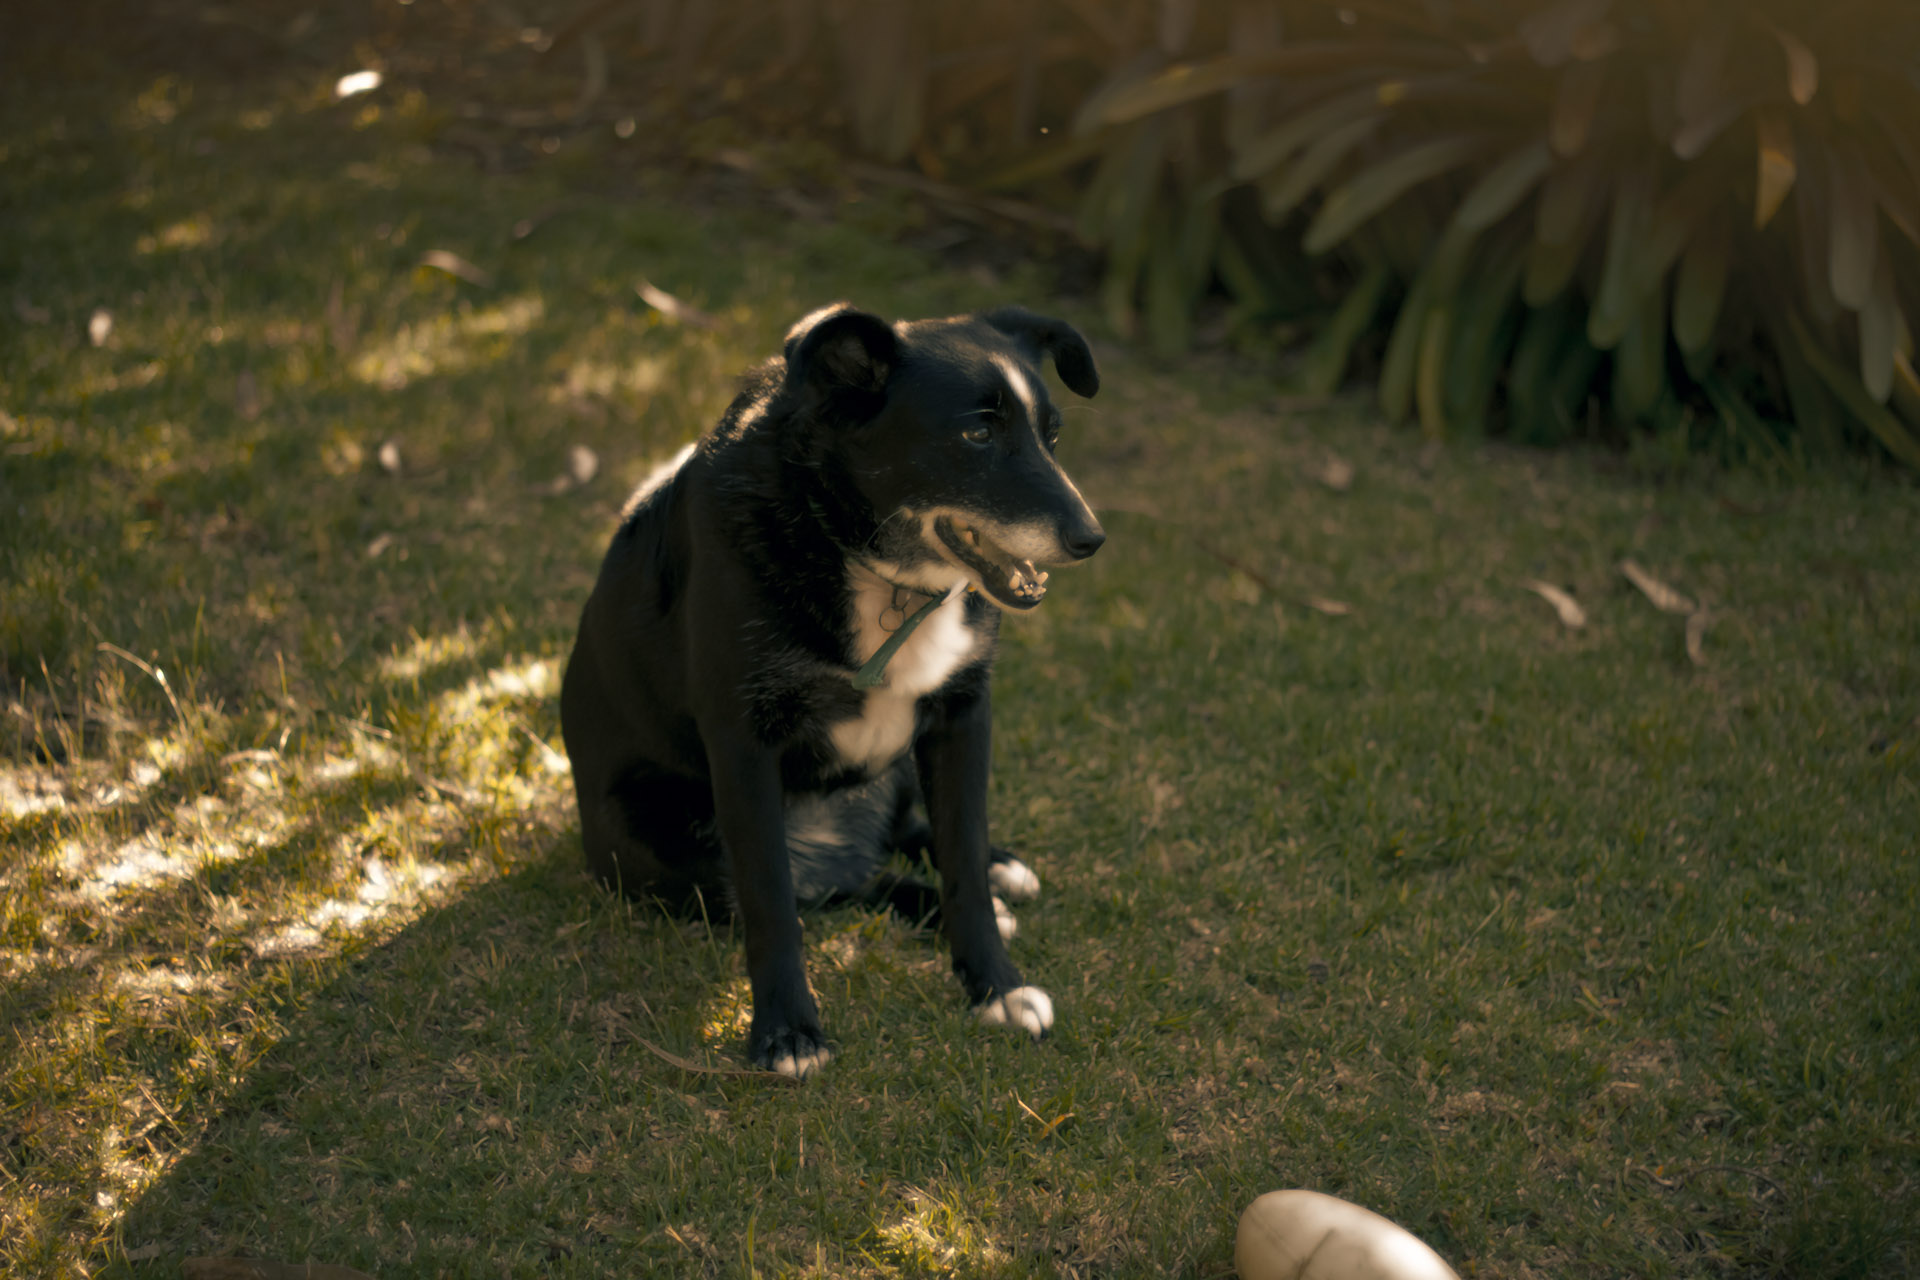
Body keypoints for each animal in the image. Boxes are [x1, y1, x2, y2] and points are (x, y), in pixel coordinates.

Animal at [560, 305, 1098, 1074]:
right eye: (978, 433)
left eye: (1052, 435)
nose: (1092, 537)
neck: (868, 559)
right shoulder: (743, 744)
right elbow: (771, 902)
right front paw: (786, 1030)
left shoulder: (963, 712)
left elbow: (963, 858)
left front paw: (995, 985)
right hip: (657, 843)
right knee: (838, 887)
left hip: (896, 771)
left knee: (900, 842)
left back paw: (998, 873)